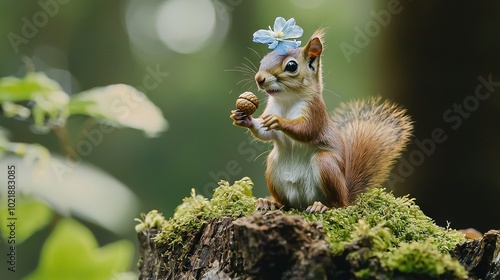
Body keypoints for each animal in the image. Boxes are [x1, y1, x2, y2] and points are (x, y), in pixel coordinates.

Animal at [230, 29, 414, 213]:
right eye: (264, 59)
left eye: (291, 66)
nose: (259, 78)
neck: (287, 101)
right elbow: (264, 132)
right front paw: (243, 118)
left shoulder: (315, 111)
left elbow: (306, 130)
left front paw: (279, 121)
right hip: (273, 167)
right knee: (286, 203)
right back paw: (270, 203)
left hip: (325, 164)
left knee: (339, 203)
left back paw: (322, 206)